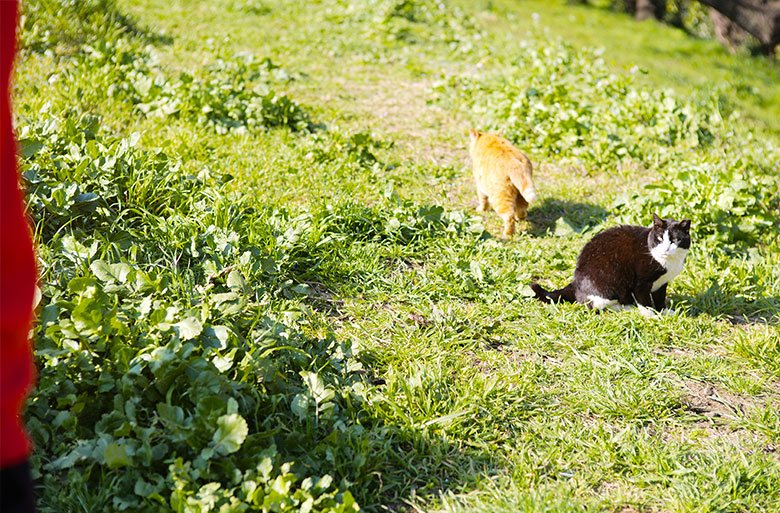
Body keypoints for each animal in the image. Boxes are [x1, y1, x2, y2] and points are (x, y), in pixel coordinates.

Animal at [532, 212, 692, 312]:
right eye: (659, 238)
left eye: (676, 240)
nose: (666, 249)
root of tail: (575, 283)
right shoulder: (641, 283)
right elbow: (645, 301)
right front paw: (651, 316)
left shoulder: (662, 283)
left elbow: (660, 299)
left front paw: (664, 312)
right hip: (608, 286)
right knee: (594, 305)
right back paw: (627, 307)